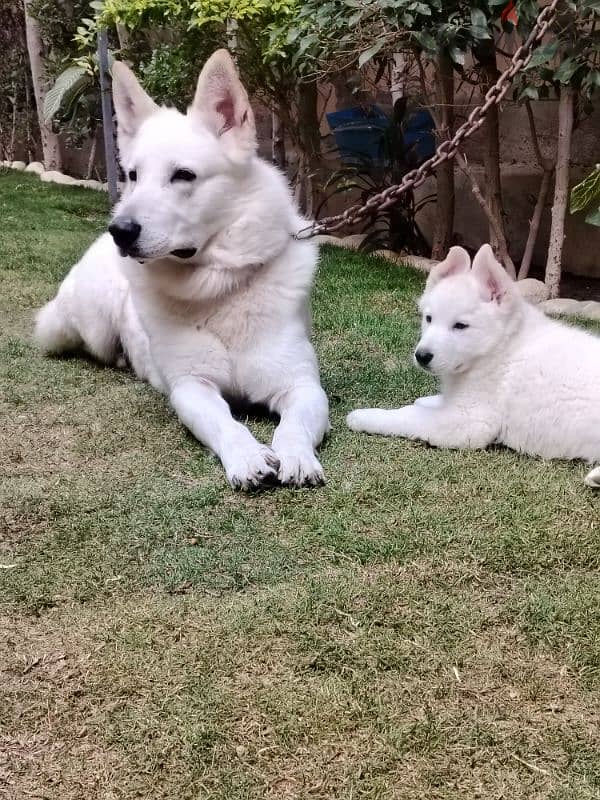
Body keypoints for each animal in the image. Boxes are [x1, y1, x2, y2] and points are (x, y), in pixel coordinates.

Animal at [35, 50, 330, 490]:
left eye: (183, 175)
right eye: (133, 175)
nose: (121, 230)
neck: (219, 287)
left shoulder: (302, 385)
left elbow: (293, 424)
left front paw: (296, 455)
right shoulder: (192, 388)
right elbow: (227, 423)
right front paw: (246, 456)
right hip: (88, 323)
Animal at [346, 242, 600, 488]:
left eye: (460, 326)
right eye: (429, 319)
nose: (421, 356)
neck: (500, 349)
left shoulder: (470, 422)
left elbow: (409, 415)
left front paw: (364, 417)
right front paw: (430, 400)